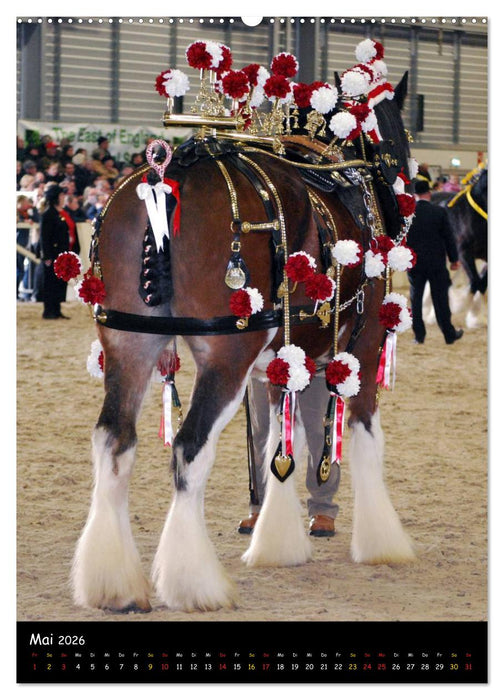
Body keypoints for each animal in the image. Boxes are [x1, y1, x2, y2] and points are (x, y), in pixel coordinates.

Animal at [70, 68, 416, 613]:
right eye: (397, 134)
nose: (410, 190)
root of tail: (167, 176)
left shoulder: (285, 359)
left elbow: (280, 442)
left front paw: (276, 541)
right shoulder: (362, 346)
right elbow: (364, 438)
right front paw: (383, 541)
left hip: (129, 343)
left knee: (113, 442)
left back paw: (113, 584)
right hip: (225, 357)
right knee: (189, 448)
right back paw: (193, 583)